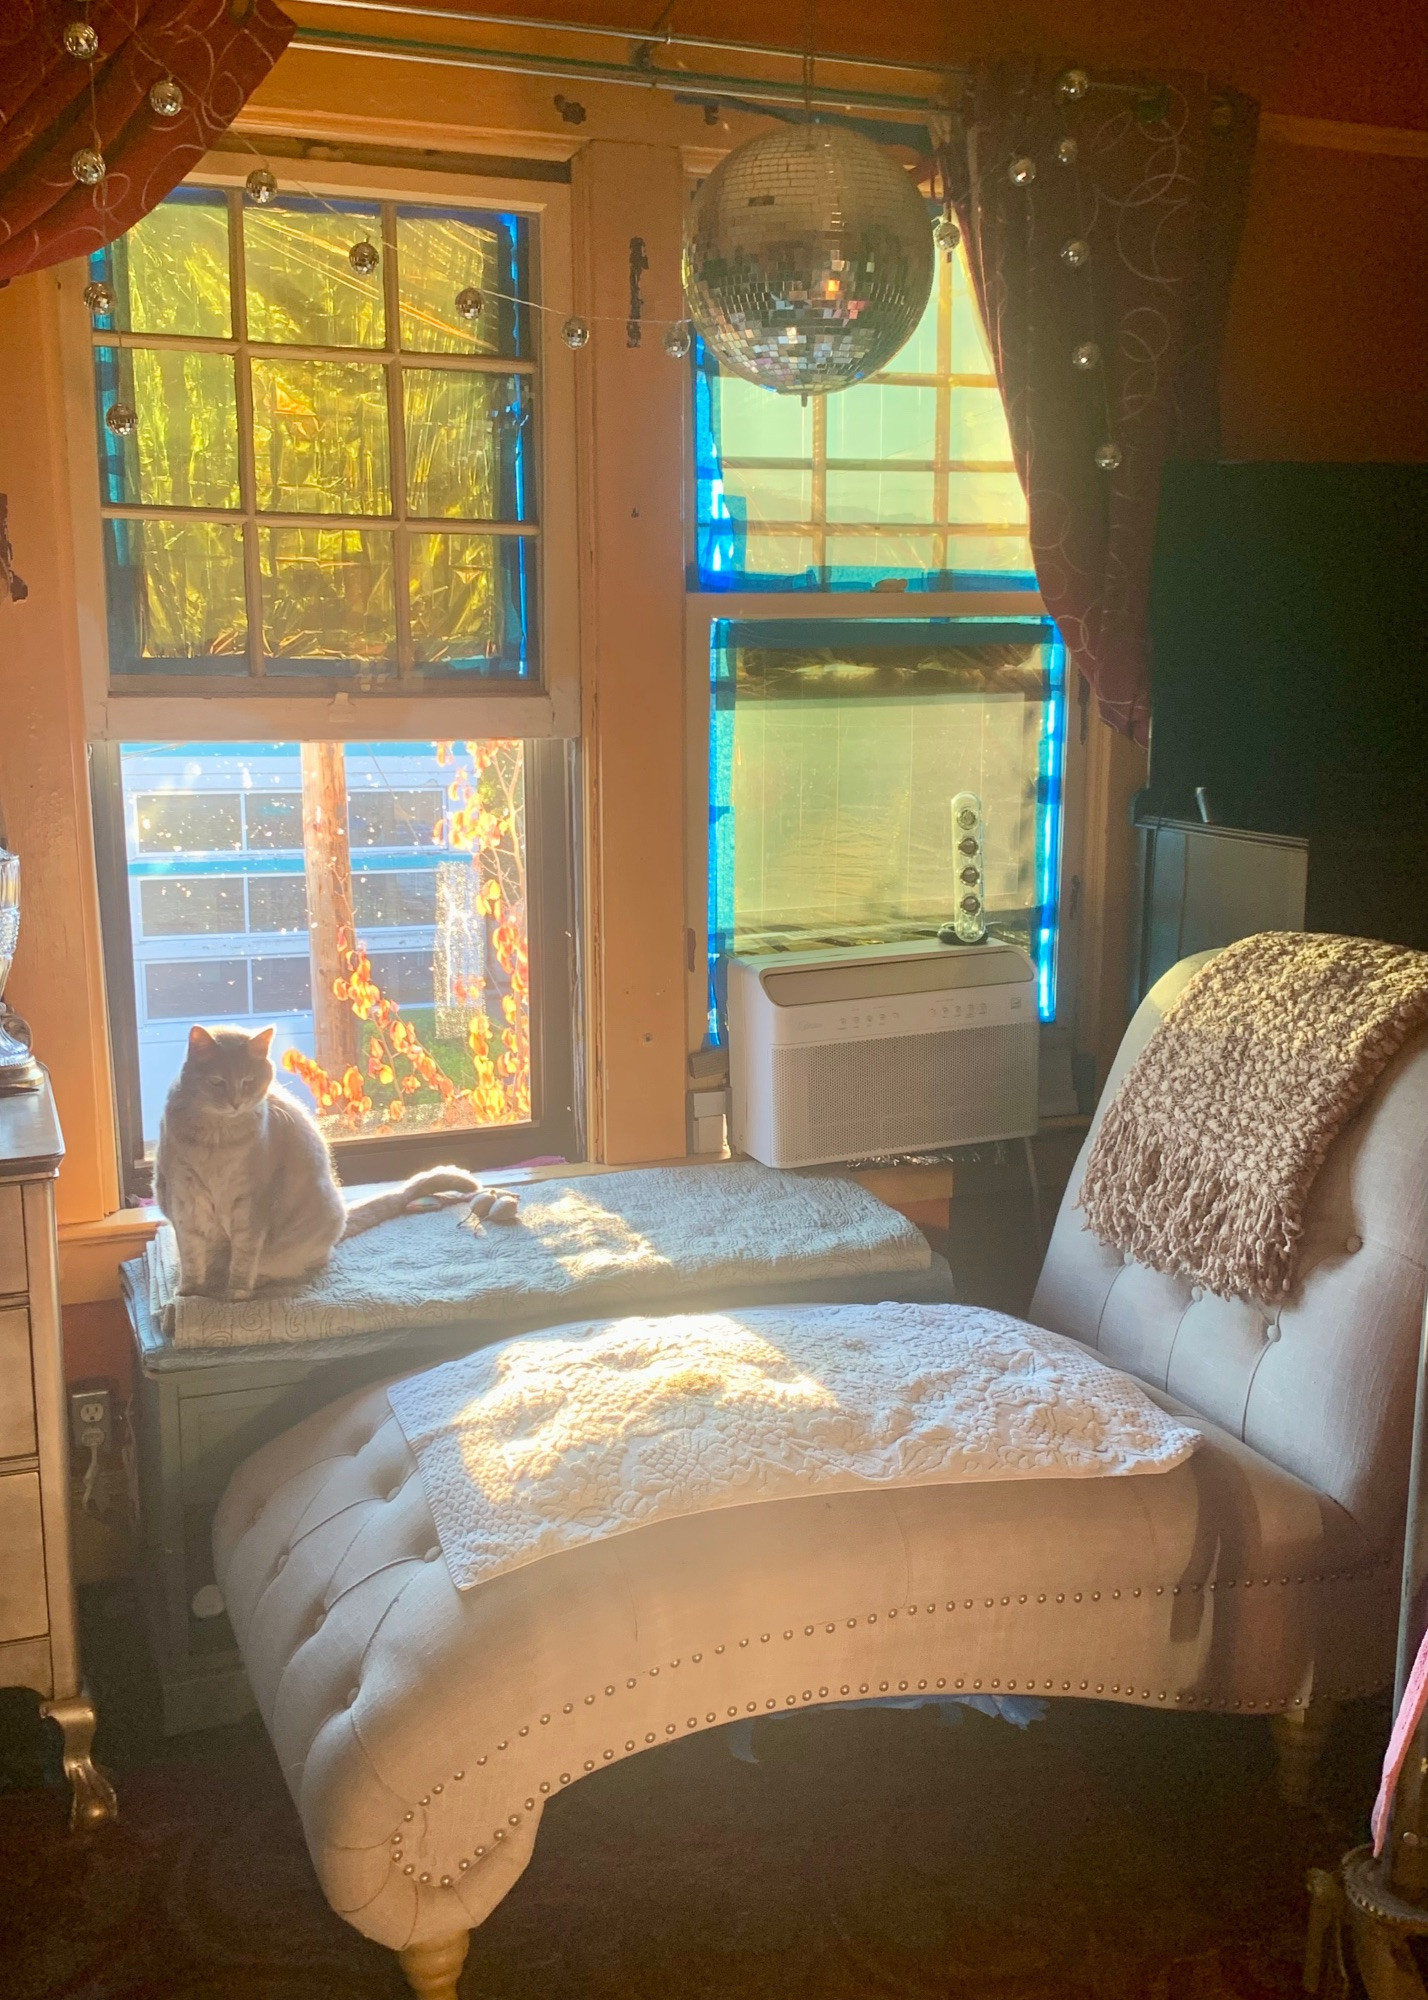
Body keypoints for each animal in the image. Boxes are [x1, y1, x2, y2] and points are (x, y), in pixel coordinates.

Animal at [154, 1024, 482, 1304]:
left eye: (248, 1081)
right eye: (217, 1082)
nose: (235, 1102)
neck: (218, 1141)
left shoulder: (250, 1205)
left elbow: (244, 1256)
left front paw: (237, 1292)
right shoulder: (184, 1200)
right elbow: (191, 1255)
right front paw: (189, 1292)